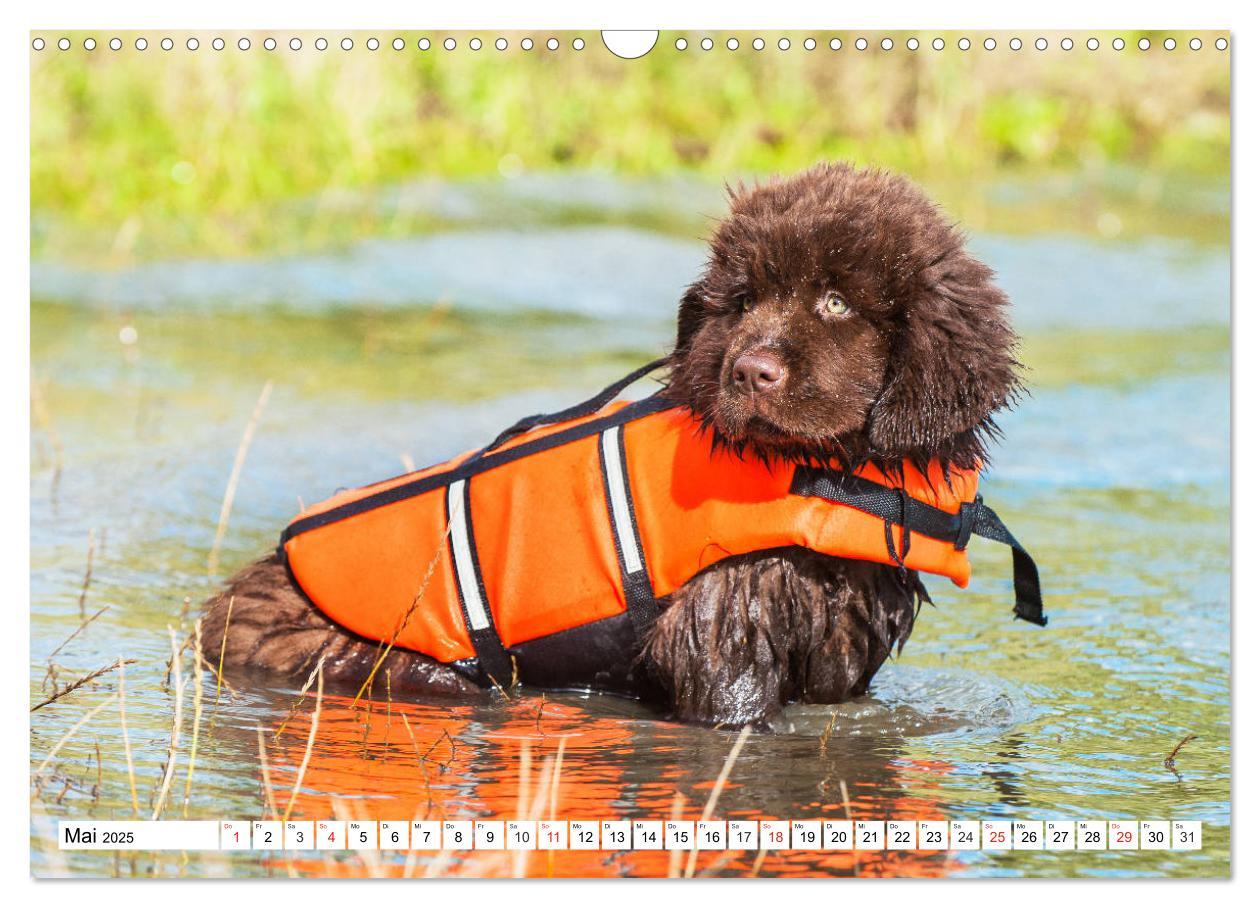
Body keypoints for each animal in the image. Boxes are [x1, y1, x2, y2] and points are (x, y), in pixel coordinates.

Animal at [199, 162, 1023, 725]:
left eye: (836, 301)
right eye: (744, 300)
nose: (749, 371)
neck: (831, 472)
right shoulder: (725, 623)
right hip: (374, 659)